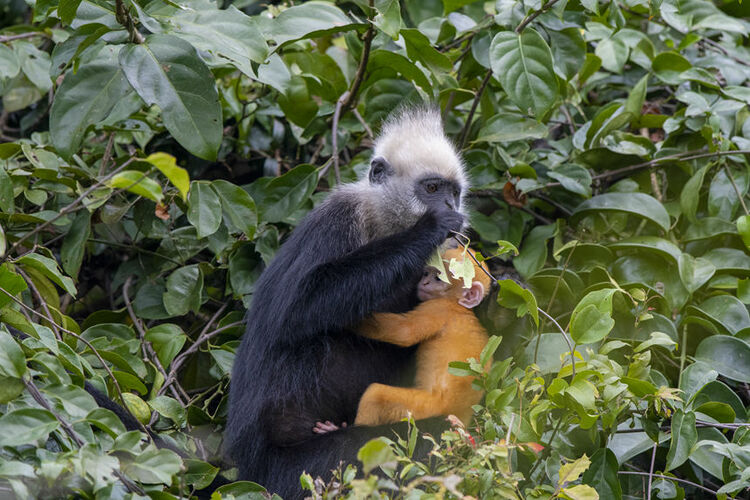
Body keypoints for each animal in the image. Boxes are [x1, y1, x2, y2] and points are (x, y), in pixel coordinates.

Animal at [226, 106, 470, 496]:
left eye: (455, 193)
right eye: (432, 189)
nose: (450, 206)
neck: (382, 225)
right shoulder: (337, 220)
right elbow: (295, 308)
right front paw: (428, 229)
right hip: (295, 466)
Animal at [316, 246, 496, 434]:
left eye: (438, 278)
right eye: (426, 274)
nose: (424, 283)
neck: (460, 307)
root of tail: (461, 420)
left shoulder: (439, 308)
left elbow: (404, 333)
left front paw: (348, 319)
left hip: (424, 409)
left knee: (376, 395)